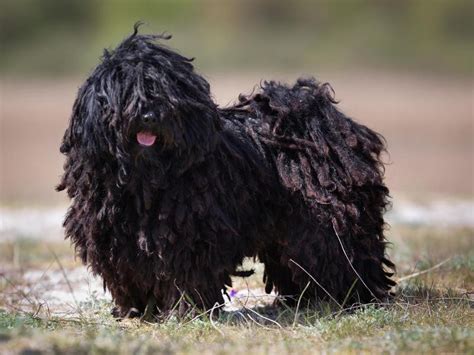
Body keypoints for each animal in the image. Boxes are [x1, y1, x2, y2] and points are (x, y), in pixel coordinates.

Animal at [57, 26, 394, 318]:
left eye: (165, 92)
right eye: (125, 90)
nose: (149, 115)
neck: (145, 182)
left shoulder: (191, 236)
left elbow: (185, 275)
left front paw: (185, 311)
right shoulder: (116, 239)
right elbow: (128, 273)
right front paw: (135, 310)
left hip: (328, 221)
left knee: (344, 254)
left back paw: (353, 296)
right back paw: (302, 299)